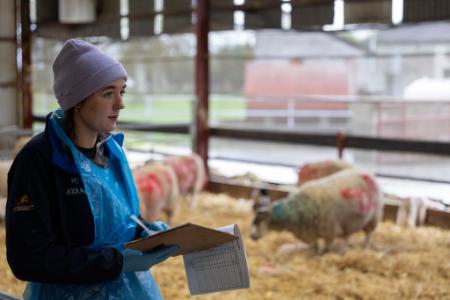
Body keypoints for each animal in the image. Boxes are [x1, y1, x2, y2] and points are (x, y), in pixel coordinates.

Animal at [251, 169, 382, 253]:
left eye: (258, 221)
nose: (251, 236)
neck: (292, 212)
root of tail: (370, 174)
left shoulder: (329, 231)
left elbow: (326, 246)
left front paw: (322, 253)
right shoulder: (311, 230)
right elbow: (314, 244)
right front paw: (313, 251)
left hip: (373, 218)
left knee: (368, 235)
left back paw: (364, 247)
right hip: (348, 222)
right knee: (346, 236)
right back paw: (343, 250)